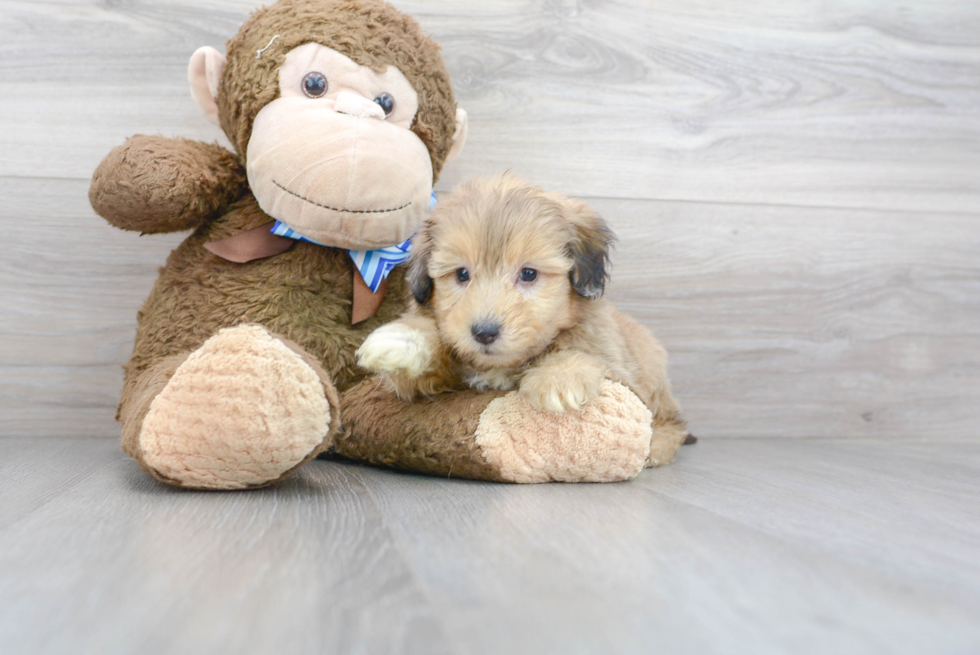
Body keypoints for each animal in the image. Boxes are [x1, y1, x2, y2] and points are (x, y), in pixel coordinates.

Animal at [356, 173, 684, 436]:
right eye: (461, 274)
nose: (484, 332)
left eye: (528, 274)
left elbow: (588, 356)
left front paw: (559, 377)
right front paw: (402, 341)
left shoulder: (623, 377)